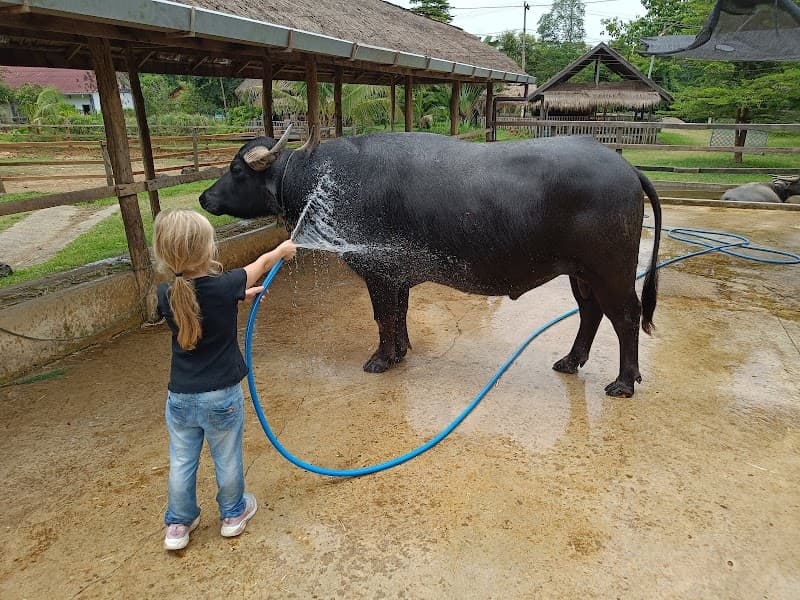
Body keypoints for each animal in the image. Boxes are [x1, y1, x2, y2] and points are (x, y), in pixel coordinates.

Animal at [200, 129, 662, 397]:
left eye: (237, 169)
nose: (205, 197)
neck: (323, 181)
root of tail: (625, 167)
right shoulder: (396, 275)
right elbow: (399, 313)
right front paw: (402, 351)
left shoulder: (377, 271)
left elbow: (383, 316)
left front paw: (380, 359)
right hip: (580, 273)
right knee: (590, 312)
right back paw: (570, 361)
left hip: (611, 271)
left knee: (625, 316)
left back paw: (624, 382)